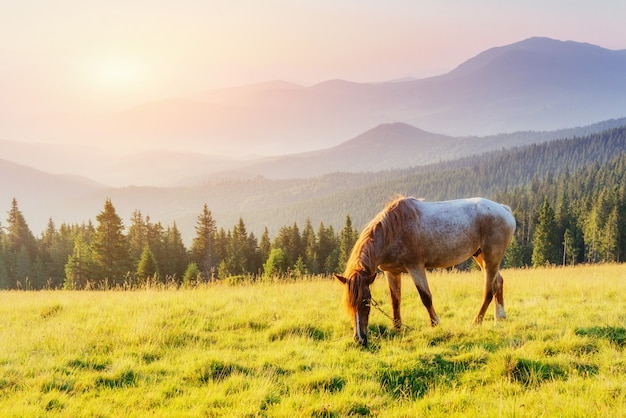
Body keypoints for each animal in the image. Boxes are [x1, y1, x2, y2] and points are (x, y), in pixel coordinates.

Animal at [334, 196, 516, 346]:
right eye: (349, 304)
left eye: (366, 303)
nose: (359, 339)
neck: (393, 231)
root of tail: (504, 210)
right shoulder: (391, 272)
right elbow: (395, 300)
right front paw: (397, 328)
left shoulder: (416, 267)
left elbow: (426, 297)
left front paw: (435, 324)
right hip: (481, 257)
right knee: (498, 282)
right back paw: (500, 318)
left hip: (491, 258)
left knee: (489, 290)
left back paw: (476, 323)